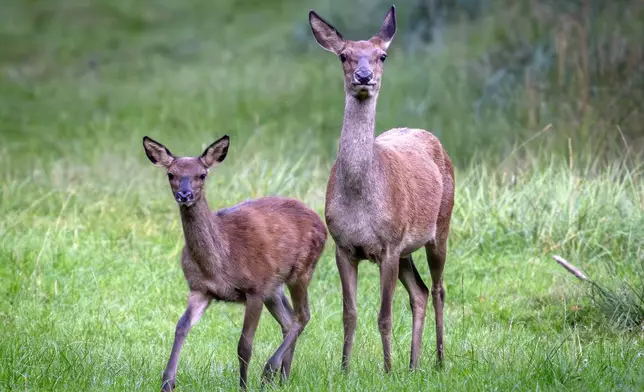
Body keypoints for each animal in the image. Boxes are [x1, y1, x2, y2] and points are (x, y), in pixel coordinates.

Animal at [145, 134, 328, 388]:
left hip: (301, 271)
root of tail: (320, 221)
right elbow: (181, 326)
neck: (221, 262)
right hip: (274, 287)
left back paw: (270, 371)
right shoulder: (200, 289)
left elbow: (244, 346)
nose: (184, 195)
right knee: (289, 320)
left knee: (303, 316)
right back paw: (283, 378)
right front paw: (168, 382)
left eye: (202, 174)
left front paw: (243, 385)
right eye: (170, 174)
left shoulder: (255, 289)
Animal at [310, 6, 456, 374]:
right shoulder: (344, 246)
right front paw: (345, 369)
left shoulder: (388, 245)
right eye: (344, 55)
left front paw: (387, 370)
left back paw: (439, 359)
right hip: (406, 249)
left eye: (382, 56)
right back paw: (413, 364)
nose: (363, 77)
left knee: (438, 289)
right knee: (419, 292)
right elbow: (349, 314)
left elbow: (384, 315)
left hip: (440, 227)